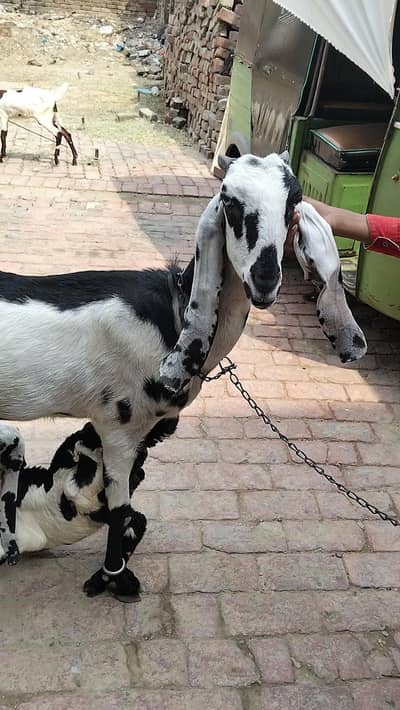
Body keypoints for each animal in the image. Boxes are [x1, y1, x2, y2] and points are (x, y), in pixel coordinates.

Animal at [0, 153, 367, 600]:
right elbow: (120, 508)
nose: (265, 278)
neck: (171, 316)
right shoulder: (118, 428)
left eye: (294, 202)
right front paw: (114, 578)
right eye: (228, 200)